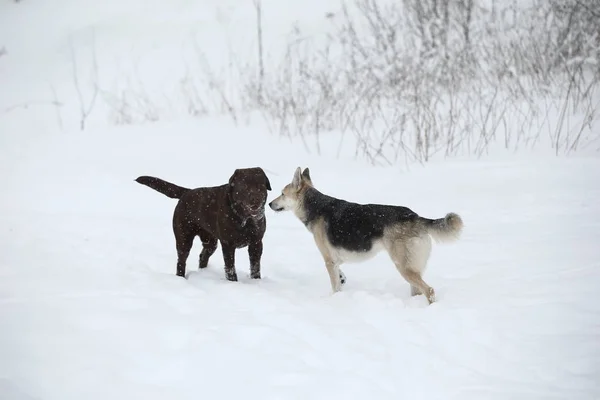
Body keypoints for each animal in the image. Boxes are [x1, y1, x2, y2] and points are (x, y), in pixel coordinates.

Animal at [136, 168, 272, 282]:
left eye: (260, 186)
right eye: (244, 186)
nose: (256, 199)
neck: (245, 220)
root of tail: (187, 192)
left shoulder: (256, 243)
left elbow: (255, 267)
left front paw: (256, 282)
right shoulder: (228, 244)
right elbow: (230, 268)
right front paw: (233, 282)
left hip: (210, 241)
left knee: (203, 255)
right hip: (184, 239)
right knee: (181, 260)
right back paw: (181, 278)